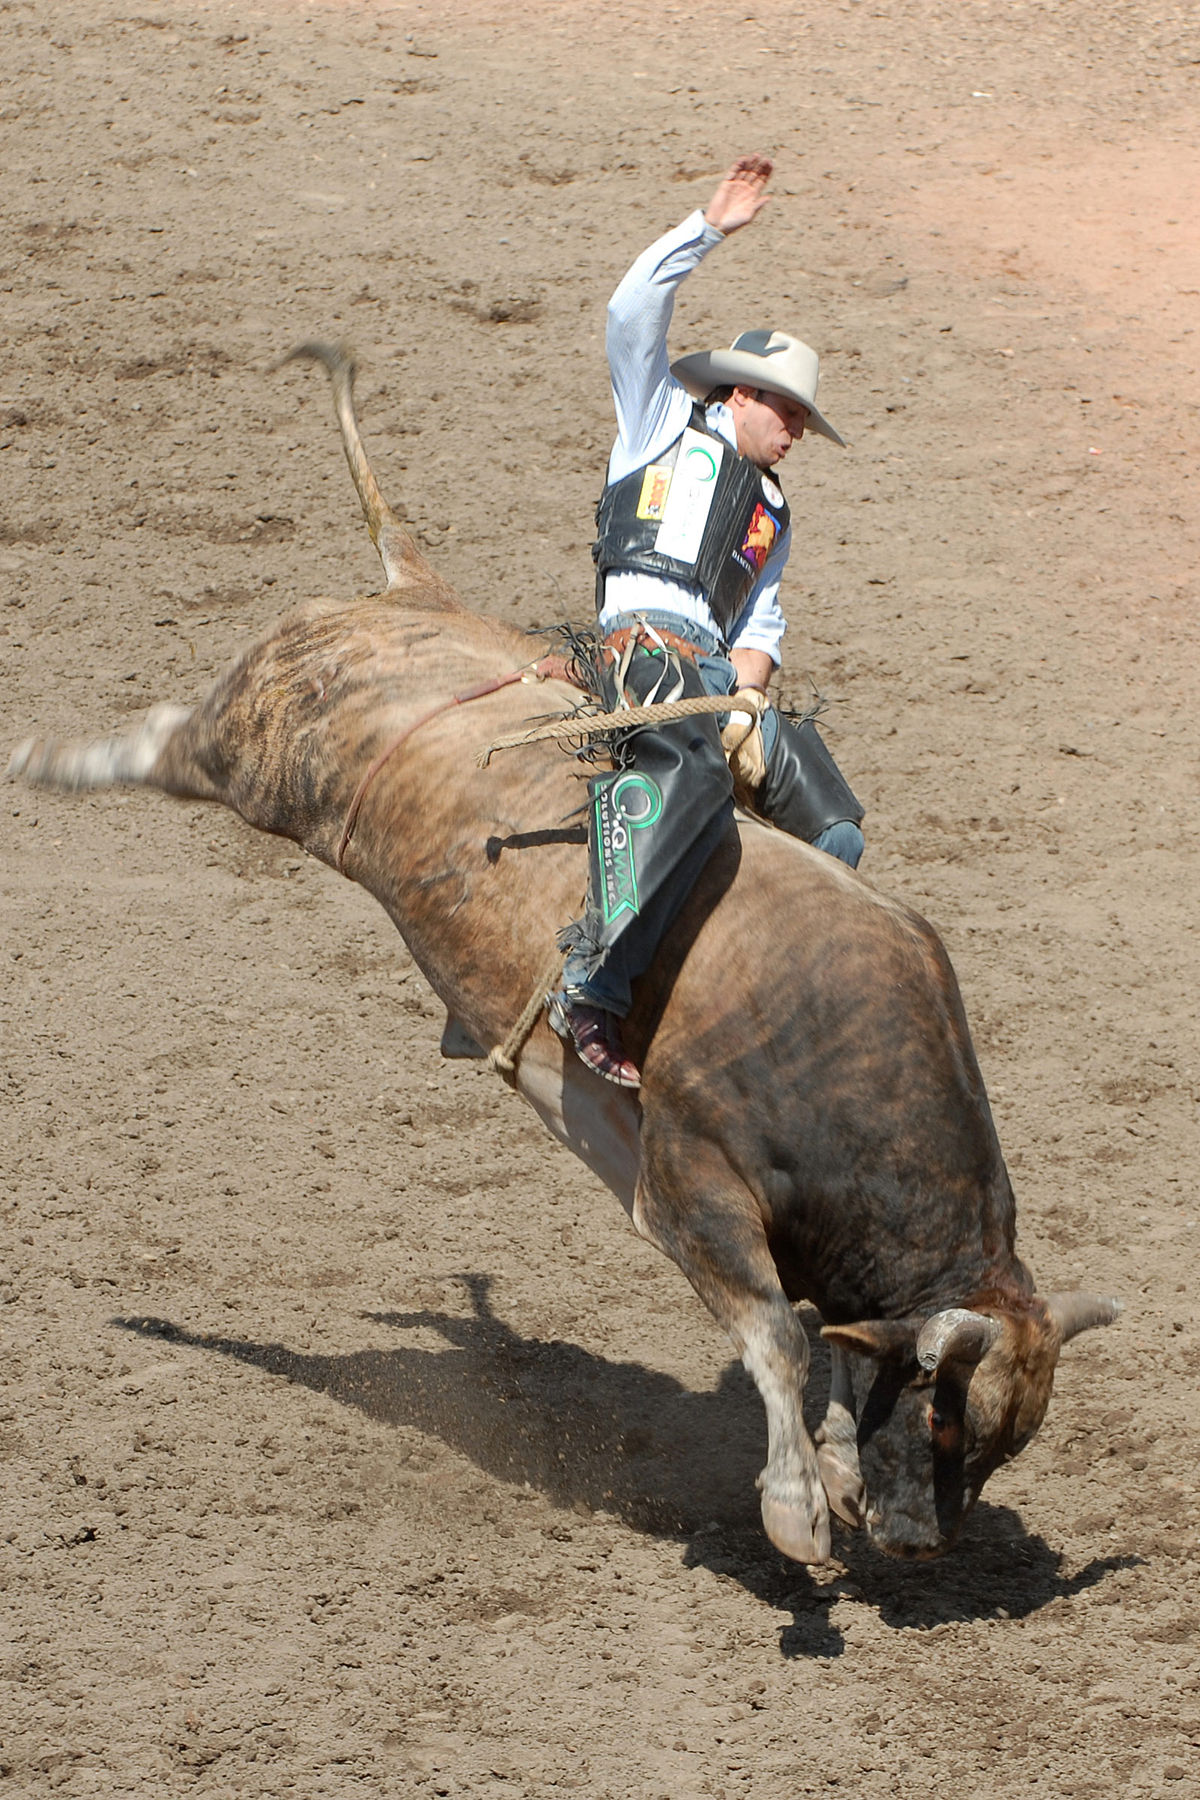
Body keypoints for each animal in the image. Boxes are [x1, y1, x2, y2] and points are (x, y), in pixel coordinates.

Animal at [9, 343, 1119, 1564]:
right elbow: (775, 1333)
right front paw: (794, 1510)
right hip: (260, 757)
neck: (838, 1055)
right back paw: (46, 757)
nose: (920, 1545)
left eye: (1005, 1440)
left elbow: (824, 1338)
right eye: (946, 1417)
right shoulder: (686, 1179)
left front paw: (829, 1464)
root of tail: (413, 594)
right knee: (164, 741)